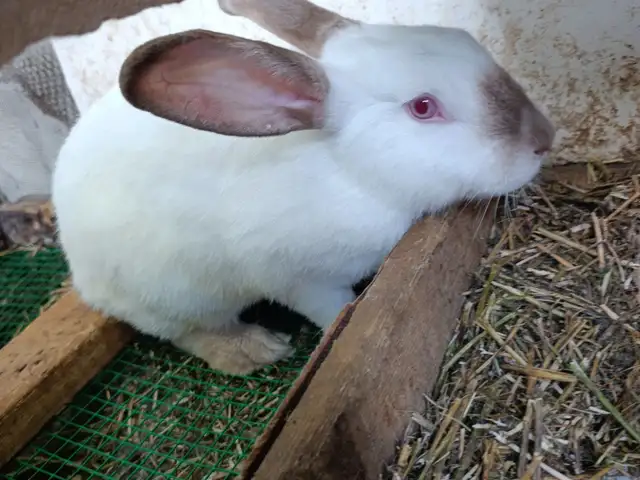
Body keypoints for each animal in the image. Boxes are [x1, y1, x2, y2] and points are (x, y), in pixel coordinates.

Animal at [52, 0, 555, 375]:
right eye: (423, 107)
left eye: (466, 40)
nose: (544, 139)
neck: (353, 173)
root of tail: (80, 272)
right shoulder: (302, 280)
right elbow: (334, 311)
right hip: (174, 298)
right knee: (189, 332)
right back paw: (254, 349)